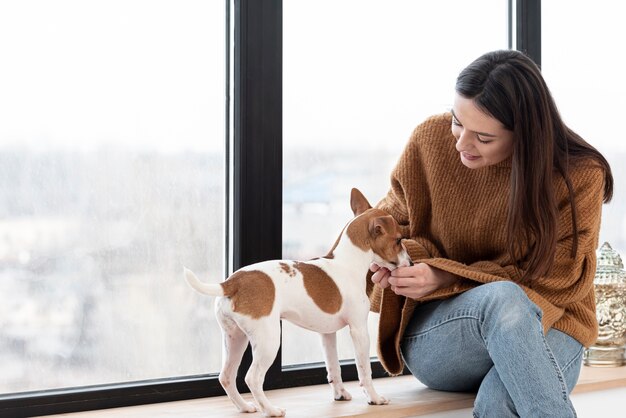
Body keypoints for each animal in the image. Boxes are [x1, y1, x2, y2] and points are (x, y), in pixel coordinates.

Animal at [184, 188, 410, 416]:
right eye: (399, 240)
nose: (410, 263)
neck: (347, 263)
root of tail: (232, 282)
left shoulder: (327, 335)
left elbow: (333, 367)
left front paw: (339, 394)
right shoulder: (359, 331)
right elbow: (364, 371)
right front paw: (374, 398)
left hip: (235, 338)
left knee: (227, 376)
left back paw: (245, 406)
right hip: (268, 341)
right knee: (253, 378)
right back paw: (271, 410)